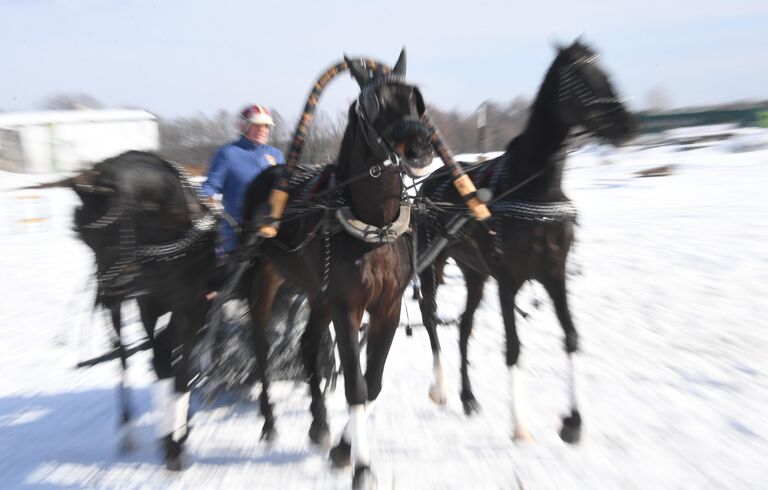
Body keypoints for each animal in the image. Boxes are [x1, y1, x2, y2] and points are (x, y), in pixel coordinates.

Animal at [48, 151, 216, 468]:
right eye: (82, 237)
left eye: (115, 231)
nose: (104, 297)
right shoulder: (147, 306)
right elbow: (158, 362)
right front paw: (168, 435)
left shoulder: (190, 307)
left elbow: (179, 367)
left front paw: (176, 442)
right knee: (139, 355)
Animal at [242, 51, 432, 488]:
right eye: (374, 102)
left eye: (416, 100)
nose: (419, 147)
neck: (374, 226)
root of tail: (269, 173)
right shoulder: (348, 306)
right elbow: (355, 387)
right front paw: (360, 466)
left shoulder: (386, 307)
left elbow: (373, 384)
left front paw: (344, 448)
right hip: (265, 280)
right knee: (261, 347)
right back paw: (269, 423)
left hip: (318, 293)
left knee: (308, 344)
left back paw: (319, 425)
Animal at [416, 39, 632, 444]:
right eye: (579, 77)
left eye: (605, 71)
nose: (628, 124)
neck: (535, 189)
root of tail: (427, 183)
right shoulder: (508, 280)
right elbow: (513, 347)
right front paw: (519, 425)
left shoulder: (554, 274)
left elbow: (571, 336)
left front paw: (573, 421)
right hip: (432, 265)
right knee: (430, 316)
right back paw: (440, 387)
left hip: (474, 273)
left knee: (464, 327)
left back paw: (468, 397)